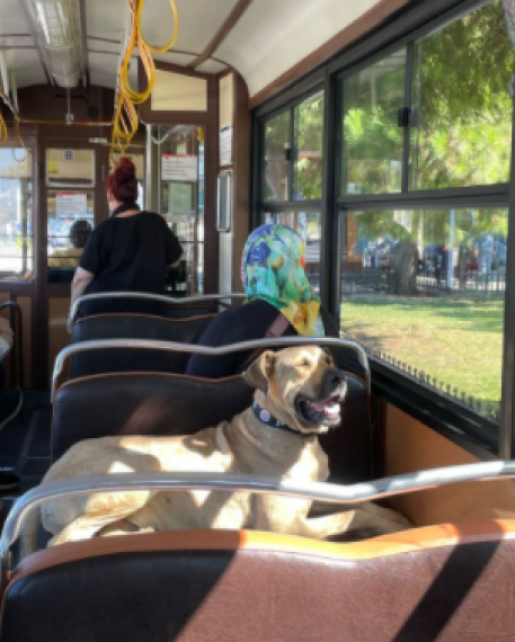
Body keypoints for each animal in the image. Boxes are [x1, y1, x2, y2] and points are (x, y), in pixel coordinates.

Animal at [21, 344, 412, 556]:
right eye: (303, 364)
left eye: (329, 361)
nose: (340, 378)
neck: (284, 428)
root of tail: (48, 476)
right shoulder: (286, 524)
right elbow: (351, 514)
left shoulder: (312, 499)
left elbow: (363, 505)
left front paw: (397, 520)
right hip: (136, 479)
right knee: (62, 541)